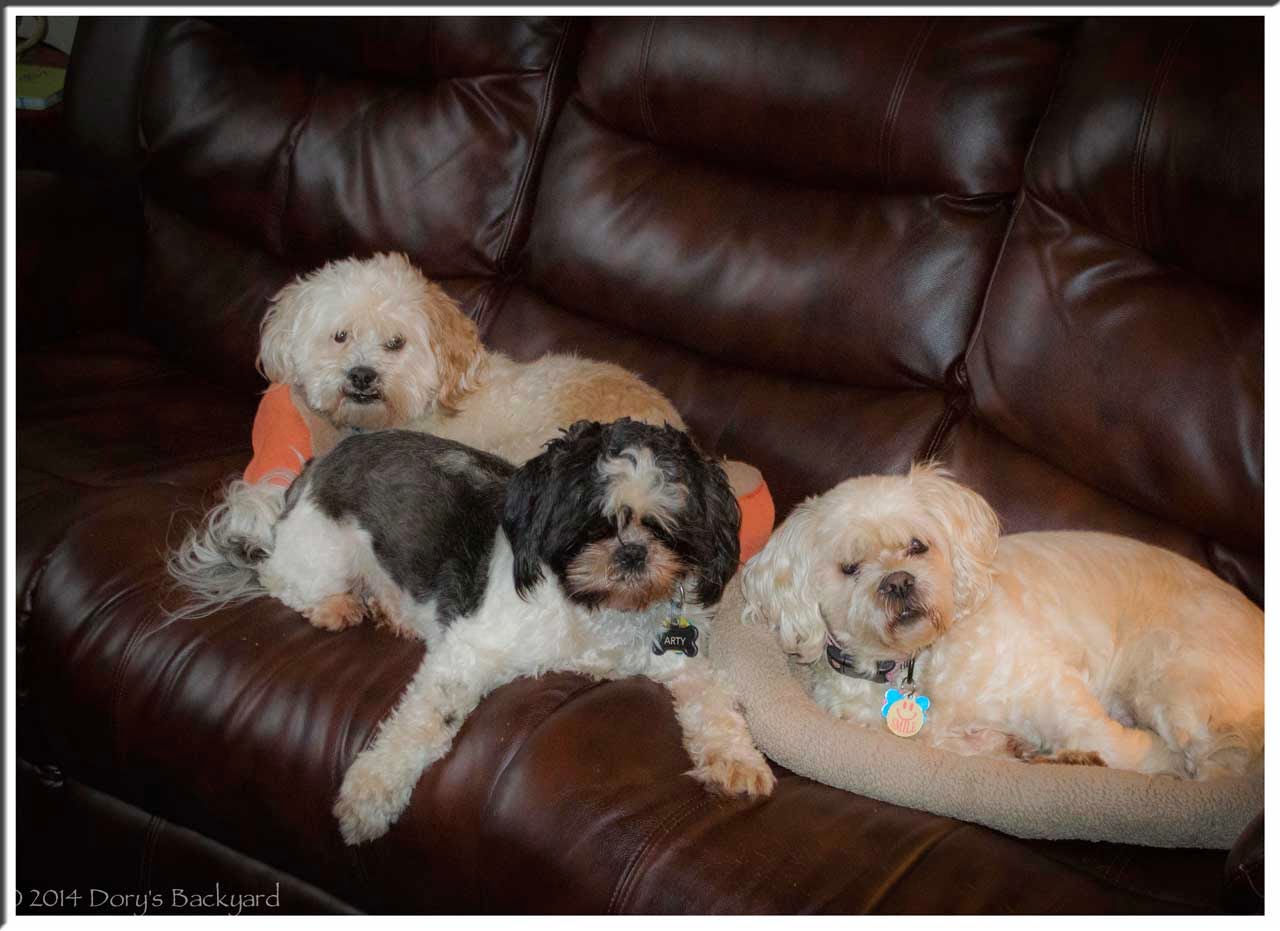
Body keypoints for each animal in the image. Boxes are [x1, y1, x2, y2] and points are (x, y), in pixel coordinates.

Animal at [251, 419, 773, 843]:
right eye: (593, 523)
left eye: (667, 526)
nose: (632, 553)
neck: (595, 608)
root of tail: (320, 463)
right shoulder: (468, 649)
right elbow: (423, 721)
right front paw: (372, 790)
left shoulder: (678, 656)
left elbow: (715, 699)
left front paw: (740, 760)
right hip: (323, 556)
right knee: (275, 575)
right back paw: (336, 607)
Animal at [741, 463, 1263, 780]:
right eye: (849, 568)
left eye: (917, 546)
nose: (898, 582)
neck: (914, 665)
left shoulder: (1049, 686)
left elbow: (1110, 742)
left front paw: (1152, 760)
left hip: (1171, 683)